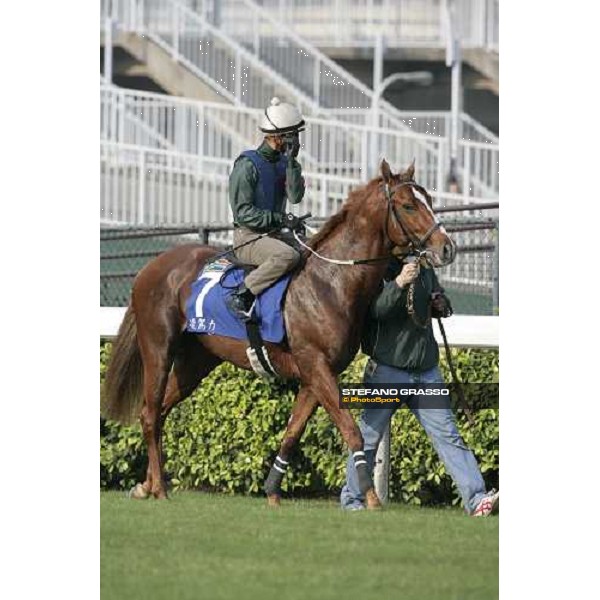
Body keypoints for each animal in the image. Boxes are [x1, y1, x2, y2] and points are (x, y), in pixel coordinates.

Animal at [102, 162, 454, 508]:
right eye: (408, 205)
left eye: (429, 201)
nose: (447, 247)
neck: (331, 282)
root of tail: (151, 267)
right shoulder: (316, 366)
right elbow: (350, 428)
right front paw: (370, 497)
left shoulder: (314, 377)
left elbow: (292, 434)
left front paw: (272, 492)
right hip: (158, 348)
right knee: (149, 413)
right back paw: (159, 488)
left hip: (196, 362)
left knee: (159, 412)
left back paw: (148, 484)